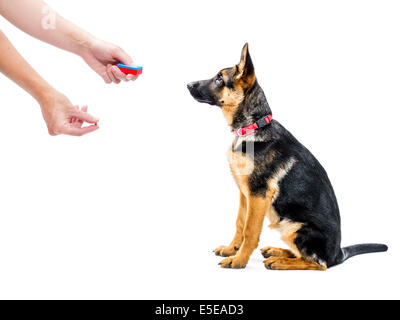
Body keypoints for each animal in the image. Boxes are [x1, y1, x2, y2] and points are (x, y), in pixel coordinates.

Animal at [188, 43, 388, 270]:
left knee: (317, 263)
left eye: (219, 79)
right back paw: (277, 251)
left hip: (296, 228)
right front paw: (232, 249)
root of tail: (338, 254)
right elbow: (240, 223)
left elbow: (250, 230)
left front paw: (239, 260)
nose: (187, 84)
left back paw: (280, 261)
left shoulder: (257, 195)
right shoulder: (244, 193)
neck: (253, 126)